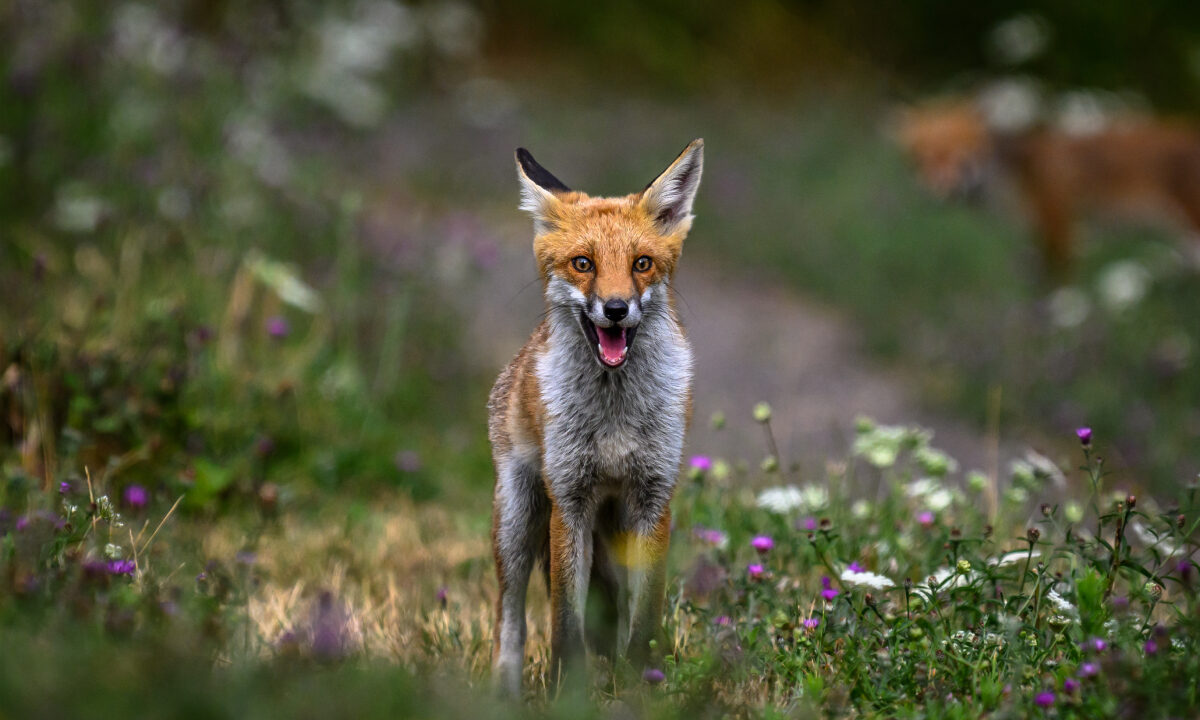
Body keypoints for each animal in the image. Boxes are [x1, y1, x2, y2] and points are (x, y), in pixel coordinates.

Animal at [487, 139, 703, 697]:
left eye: (642, 263)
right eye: (583, 263)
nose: (616, 308)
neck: (613, 421)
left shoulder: (653, 499)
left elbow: (644, 617)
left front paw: (642, 683)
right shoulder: (570, 500)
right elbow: (565, 621)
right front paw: (569, 691)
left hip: (616, 528)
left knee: (620, 608)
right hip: (518, 519)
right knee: (510, 616)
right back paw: (505, 692)